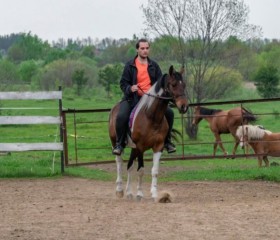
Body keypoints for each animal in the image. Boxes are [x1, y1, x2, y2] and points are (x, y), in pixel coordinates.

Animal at [109, 65, 188, 201]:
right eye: (173, 84)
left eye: (184, 85)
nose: (184, 106)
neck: (151, 116)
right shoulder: (140, 147)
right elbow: (140, 170)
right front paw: (139, 193)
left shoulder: (158, 146)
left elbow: (154, 170)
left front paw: (154, 194)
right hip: (116, 142)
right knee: (119, 162)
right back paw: (120, 190)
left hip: (133, 148)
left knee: (129, 165)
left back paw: (129, 192)